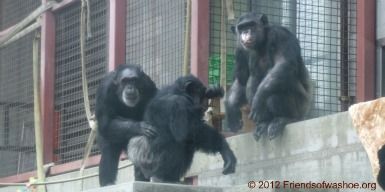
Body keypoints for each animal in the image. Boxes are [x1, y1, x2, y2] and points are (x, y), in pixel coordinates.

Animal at [225, 12, 312, 141]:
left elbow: (284, 63)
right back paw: (264, 123)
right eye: (241, 28)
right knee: (252, 79)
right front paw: (231, 109)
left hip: (301, 109)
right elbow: (241, 81)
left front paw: (258, 99)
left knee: (274, 94)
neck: (261, 44)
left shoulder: (281, 36)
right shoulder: (241, 50)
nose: (246, 32)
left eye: (251, 25)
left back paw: (283, 119)